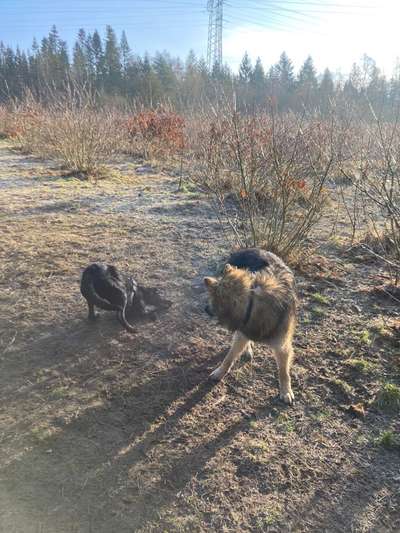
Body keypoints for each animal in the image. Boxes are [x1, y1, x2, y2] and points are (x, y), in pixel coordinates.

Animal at [205, 249, 296, 404]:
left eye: (211, 299)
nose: (204, 309)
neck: (251, 302)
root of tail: (248, 249)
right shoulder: (242, 331)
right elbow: (229, 358)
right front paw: (220, 372)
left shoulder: (282, 346)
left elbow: (284, 371)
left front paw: (286, 391)